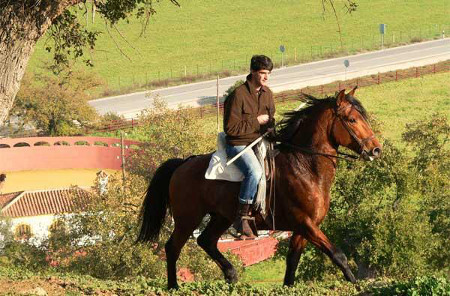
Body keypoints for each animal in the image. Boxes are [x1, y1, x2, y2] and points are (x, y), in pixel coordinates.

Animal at [136, 87, 380, 290]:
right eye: (352, 119)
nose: (376, 149)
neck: (304, 165)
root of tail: (183, 163)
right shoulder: (306, 224)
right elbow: (338, 255)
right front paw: (356, 284)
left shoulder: (304, 228)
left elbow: (292, 264)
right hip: (188, 218)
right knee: (172, 247)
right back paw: (173, 286)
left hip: (221, 217)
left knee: (206, 241)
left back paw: (231, 275)